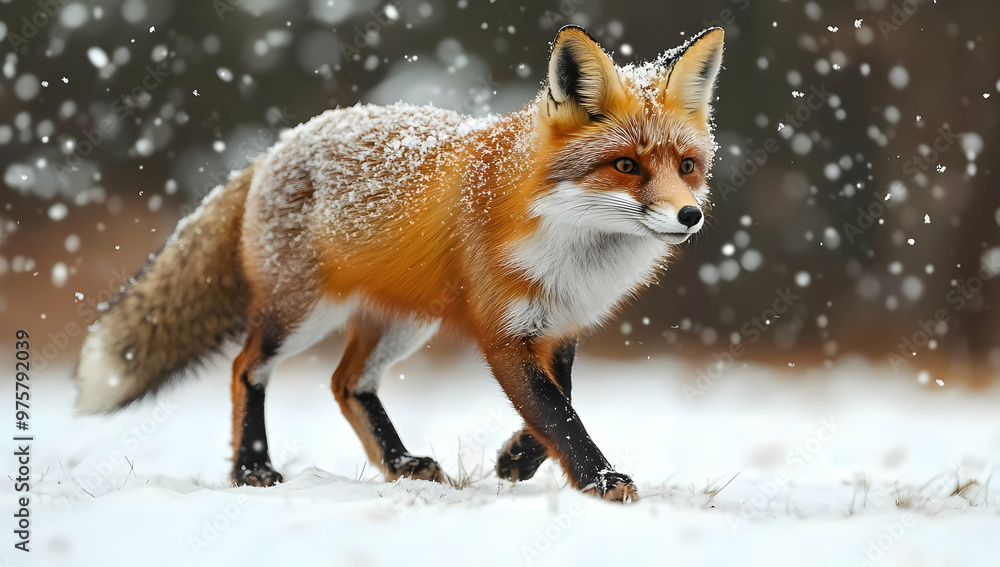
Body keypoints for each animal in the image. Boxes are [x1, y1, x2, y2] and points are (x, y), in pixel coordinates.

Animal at [76, 26, 724, 503]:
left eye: (687, 166)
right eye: (626, 166)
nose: (690, 215)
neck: (575, 249)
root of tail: (277, 146)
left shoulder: (561, 324)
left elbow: (559, 400)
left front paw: (517, 460)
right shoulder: (503, 333)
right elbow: (558, 413)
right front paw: (601, 479)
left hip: (406, 321)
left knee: (347, 383)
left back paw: (400, 461)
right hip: (302, 314)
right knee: (245, 368)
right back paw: (251, 471)